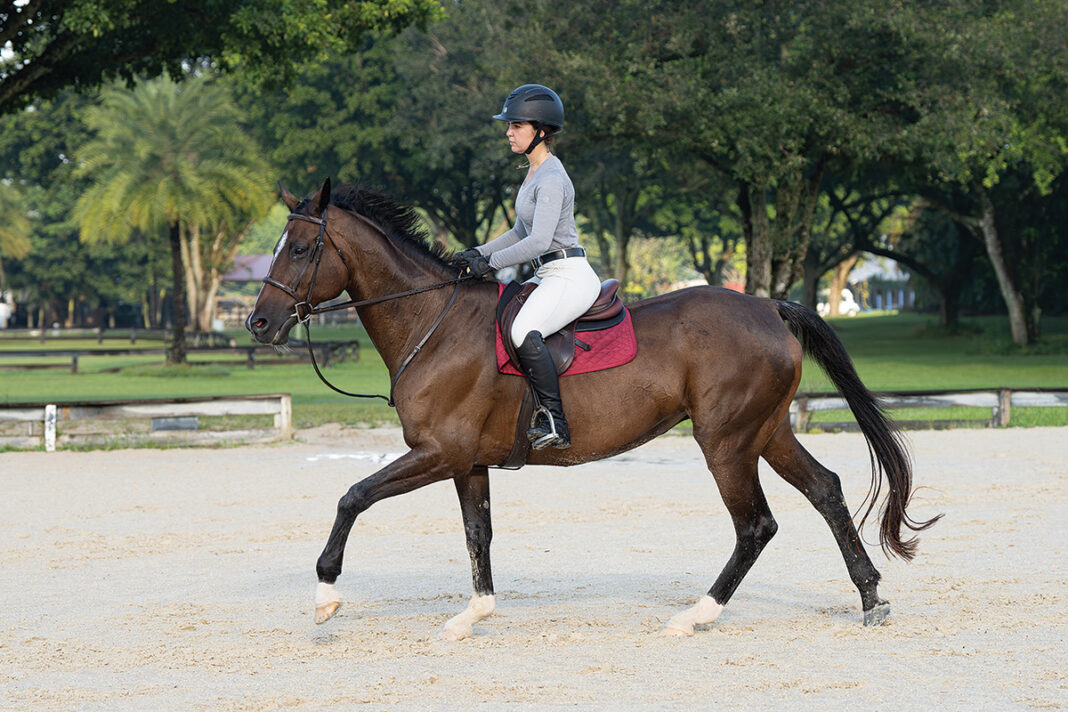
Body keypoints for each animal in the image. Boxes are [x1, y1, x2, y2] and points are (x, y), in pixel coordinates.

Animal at [246, 178, 938, 640]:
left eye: (301, 250)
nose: (259, 324)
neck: (433, 322)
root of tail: (769, 305)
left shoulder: (436, 452)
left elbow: (352, 498)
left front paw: (325, 595)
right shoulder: (466, 461)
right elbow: (477, 533)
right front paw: (474, 614)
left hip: (725, 442)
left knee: (756, 525)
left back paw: (697, 615)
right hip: (764, 432)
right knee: (825, 489)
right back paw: (870, 598)